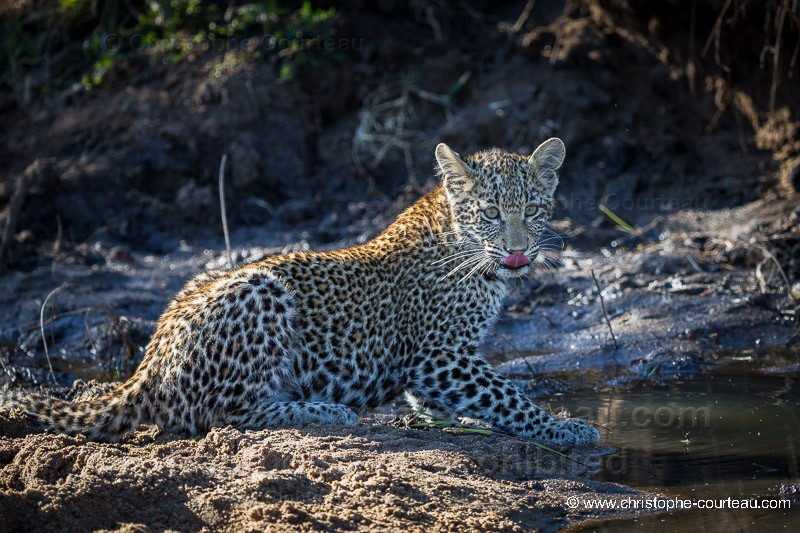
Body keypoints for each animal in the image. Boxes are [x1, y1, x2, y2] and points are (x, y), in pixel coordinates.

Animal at [1, 137, 600, 444]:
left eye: (535, 210)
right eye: (493, 213)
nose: (520, 252)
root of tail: (147, 364)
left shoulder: (438, 365)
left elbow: (460, 398)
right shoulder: (440, 354)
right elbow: (507, 394)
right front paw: (564, 426)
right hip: (260, 291)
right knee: (228, 414)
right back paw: (324, 411)